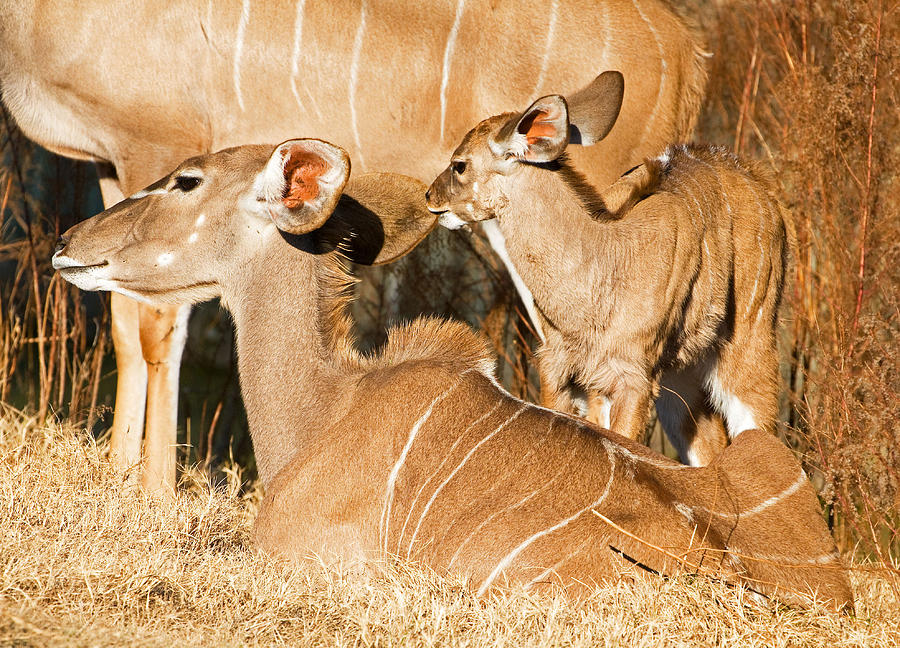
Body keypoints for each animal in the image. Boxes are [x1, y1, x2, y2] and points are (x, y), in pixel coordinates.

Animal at [426, 72, 792, 466]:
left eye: (459, 164)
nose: (430, 197)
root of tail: (761, 185)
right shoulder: (561, 367)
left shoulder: (633, 377)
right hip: (679, 377)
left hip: (750, 346)